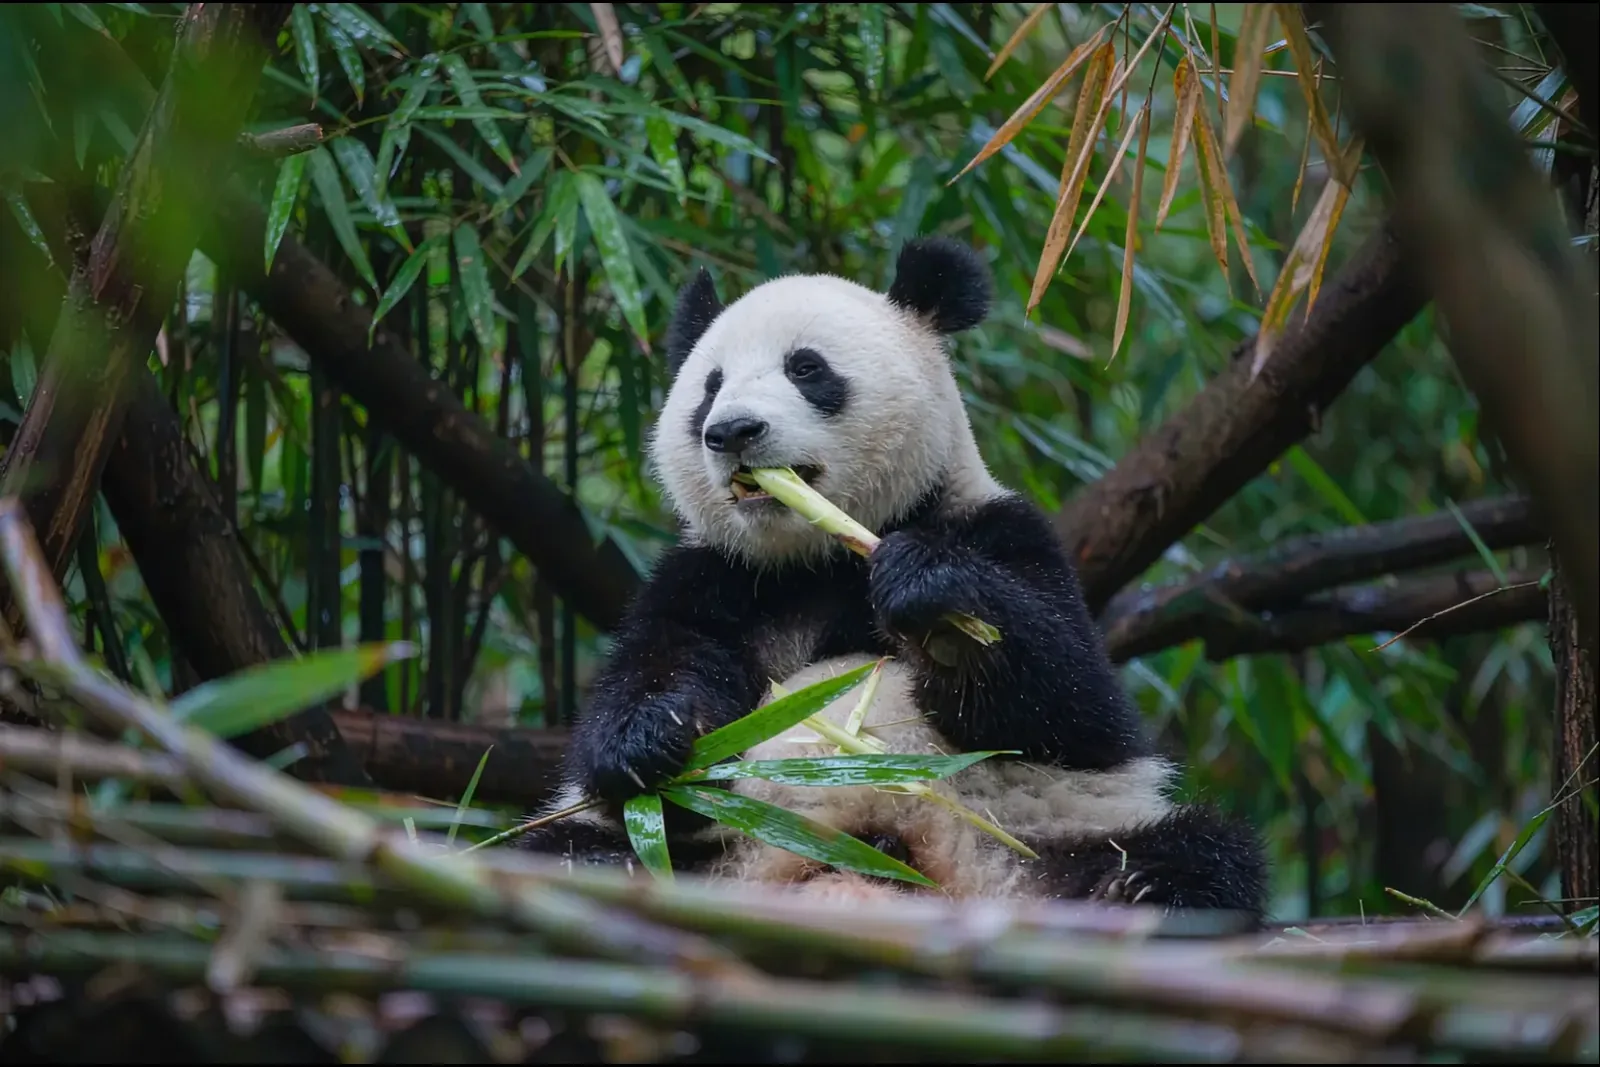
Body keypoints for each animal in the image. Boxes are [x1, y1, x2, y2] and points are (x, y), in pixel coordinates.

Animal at [516, 236, 1268, 921]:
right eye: (709, 386)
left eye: (806, 367)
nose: (731, 431)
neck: (817, 558)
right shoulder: (712, 576)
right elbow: (652, 677)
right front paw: (651, 740)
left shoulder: (1003, 531)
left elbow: (1073, 704)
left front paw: (934, 602)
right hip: (703, 851)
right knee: (558, 847)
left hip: (1049, 834)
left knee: (1202, 851)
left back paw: (1138, 892)